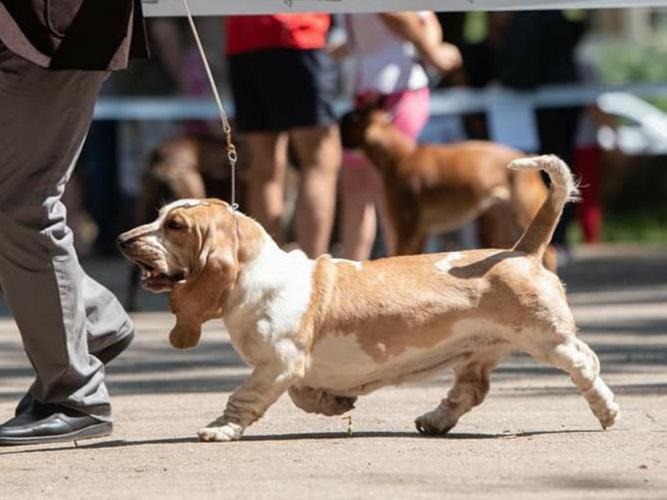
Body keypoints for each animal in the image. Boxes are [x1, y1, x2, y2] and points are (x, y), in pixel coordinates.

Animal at [116, 154, 620, 440]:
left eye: (176, 226)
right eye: (160, 215)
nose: (123, 240)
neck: (256, 274)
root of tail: (521, 251)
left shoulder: (277, 363)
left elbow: (244, 397)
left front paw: (220, 430)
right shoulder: (289, 368)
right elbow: (302, 395)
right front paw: (336, 404)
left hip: (547, 339)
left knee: (586, 365)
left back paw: (607, 411)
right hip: (478, 352)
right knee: (470, 390)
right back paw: (434, 420)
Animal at [340, 109, 560, 270]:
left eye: (351, 119)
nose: (339, 118)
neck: (401, 157)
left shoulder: (407, 229)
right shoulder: (419, 232)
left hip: (523, 213)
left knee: (550, 254)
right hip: (504, 220)